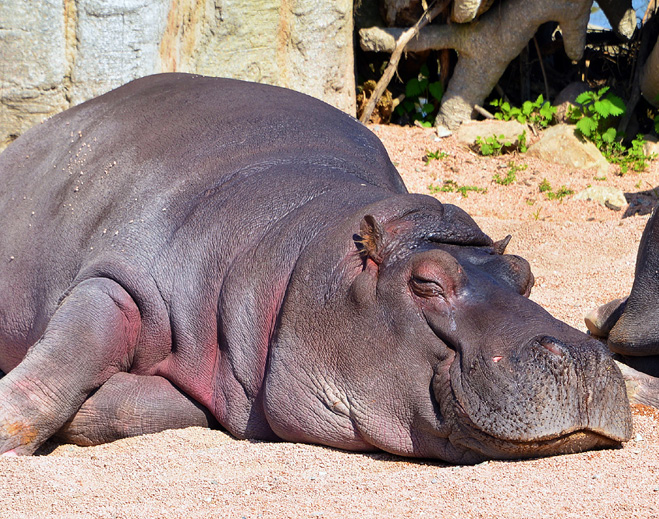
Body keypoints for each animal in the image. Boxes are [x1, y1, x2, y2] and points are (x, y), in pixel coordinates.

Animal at [0, 73, 631, 463]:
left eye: (525, 272)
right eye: (426, 282)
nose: (582, 355)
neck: (299, 247)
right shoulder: (118, 282)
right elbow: (56, 371)